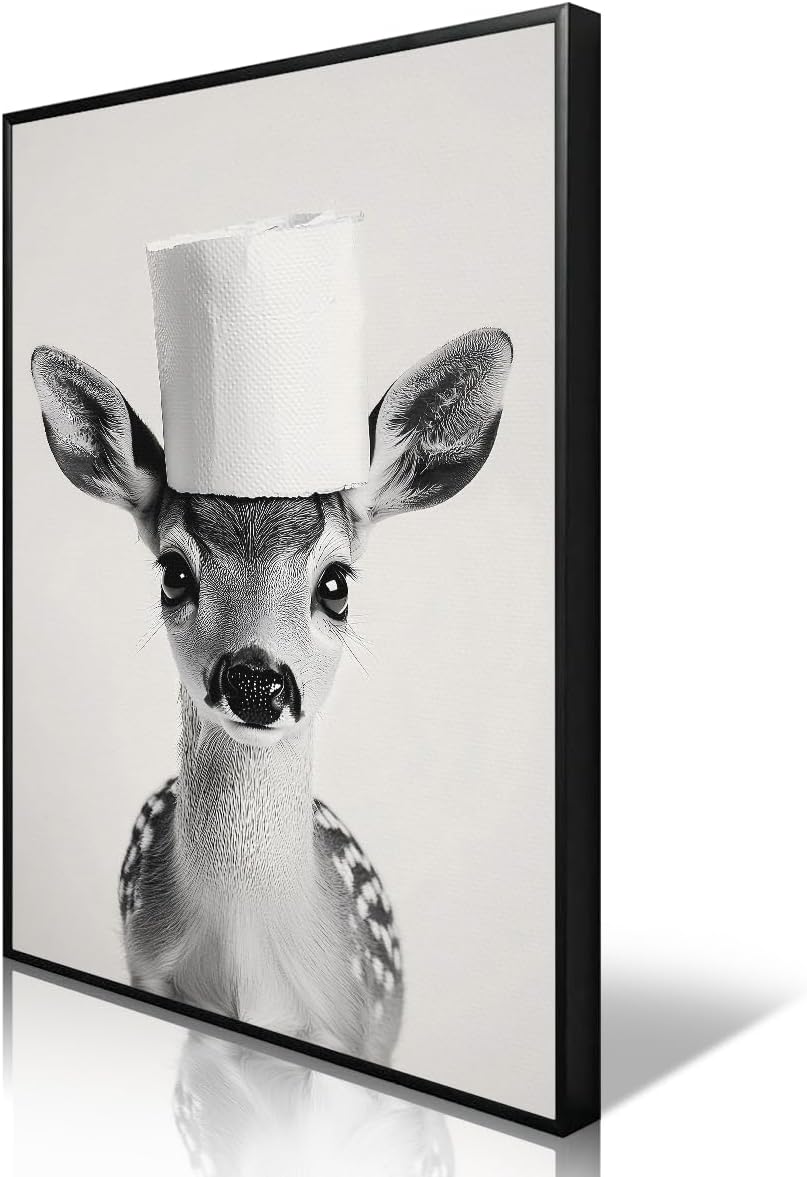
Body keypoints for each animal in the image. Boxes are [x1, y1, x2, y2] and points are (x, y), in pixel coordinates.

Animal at [31, 326, 513, 1067]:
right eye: (173, 572)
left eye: (336, 583)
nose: (256, 682)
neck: (247, 961)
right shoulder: (151, 972)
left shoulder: (358, 1019)